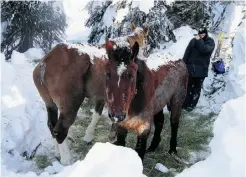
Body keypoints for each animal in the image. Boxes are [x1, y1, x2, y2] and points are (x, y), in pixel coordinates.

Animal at [32, 24, 148, 165]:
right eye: (146, 39)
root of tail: (45, 63)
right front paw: (112, 135)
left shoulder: (102, 97)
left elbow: (97, 115)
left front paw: (88, 136)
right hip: (70, 107)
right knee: (60, 130)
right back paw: (67, 159)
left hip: (50, 104)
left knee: (51, 125)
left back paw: (57, 151)